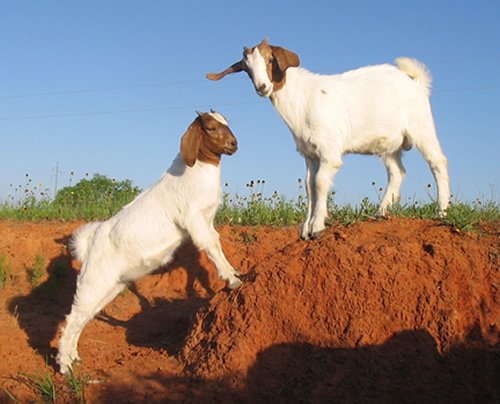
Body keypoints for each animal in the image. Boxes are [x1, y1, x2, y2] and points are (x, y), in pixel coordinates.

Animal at [57, 110, 243, 376]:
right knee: (72, 318)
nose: (234, 144)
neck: (196, 171)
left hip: (110, 286)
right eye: (210, 128)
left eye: (227, 123)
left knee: (82, 318)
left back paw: (74, 359)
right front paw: (232, 279)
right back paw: (65, 367)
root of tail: (92, 242)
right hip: (93, 281)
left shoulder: (207, 220)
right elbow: (211, 246)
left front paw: (234, 272)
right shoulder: (194, 220)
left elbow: (215, 242)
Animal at [207, 38, 450, 240]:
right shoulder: (309, 153)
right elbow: (309, 186)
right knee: (397, 172)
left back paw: (442, 210)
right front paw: (305, 228)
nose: (262, 87)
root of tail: (416, 83)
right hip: (388, 145)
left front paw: (317, 227)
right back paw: (381, 213)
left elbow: (320, 182)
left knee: (437, 162)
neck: (302, 99)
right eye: (247, 68)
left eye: (269, 60)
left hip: (421, 126)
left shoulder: (329, 151)